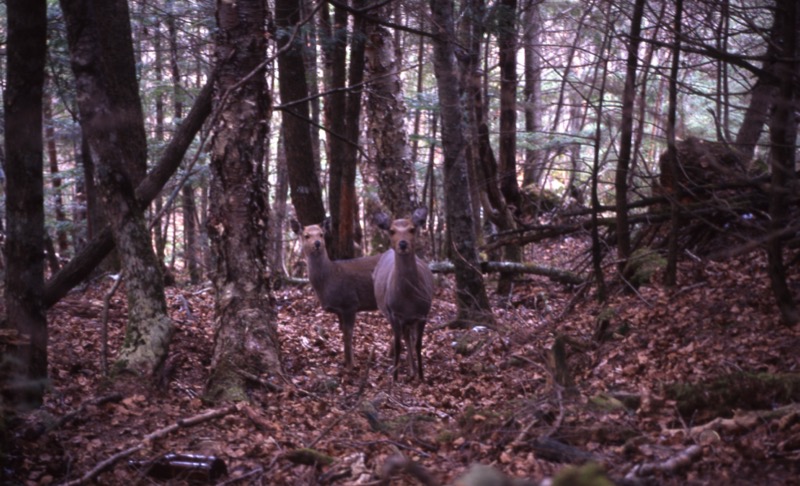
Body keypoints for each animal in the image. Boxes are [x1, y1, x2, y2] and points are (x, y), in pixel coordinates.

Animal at [290, 218, 382, 370]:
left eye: (321, 234)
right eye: (306, 235)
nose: (317, 243)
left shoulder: (350, 302)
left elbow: (348, 334)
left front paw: (350, 366)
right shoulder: (339, 310)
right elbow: (342, 331)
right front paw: (346, 361)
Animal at [372, 207, 434, 382]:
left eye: (412, 229)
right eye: (392, 230)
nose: (403, 244)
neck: (408, 299)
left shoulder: (423, 313)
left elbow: (418, 344)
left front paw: (422, 376)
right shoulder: (394, 313)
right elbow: (399, 344)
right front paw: (394, 377)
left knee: (409, 337)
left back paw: (413, 371)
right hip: (387, 311)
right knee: (403, 337)